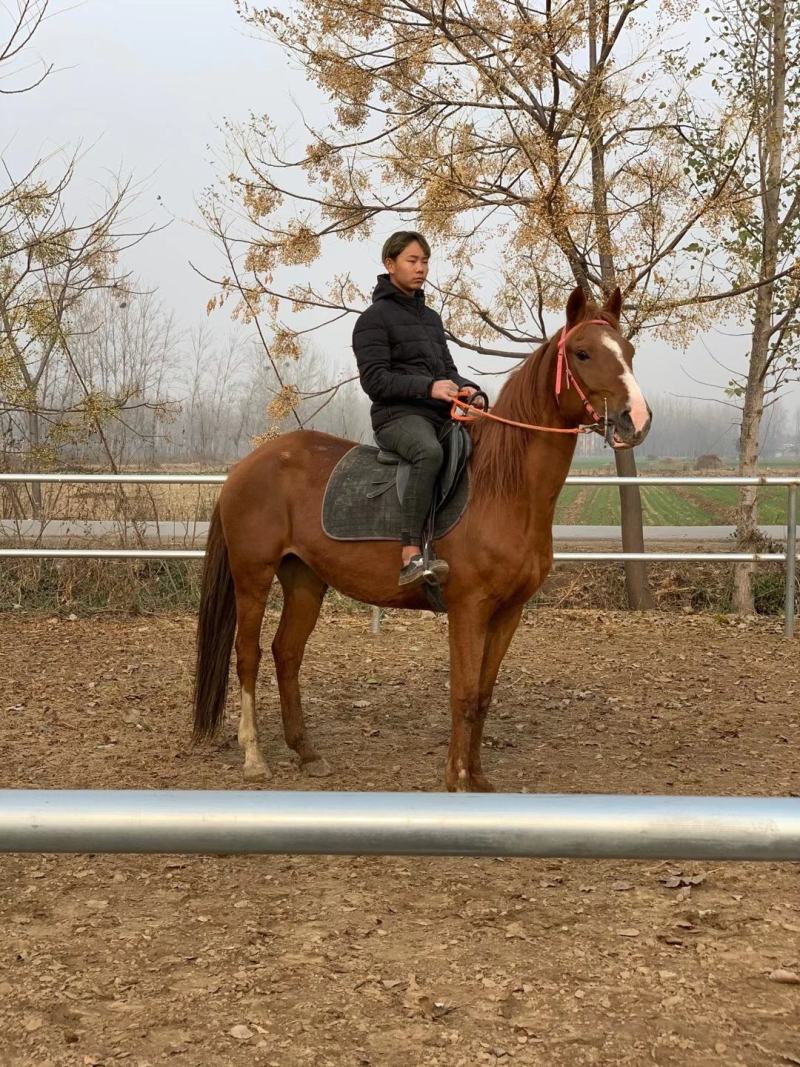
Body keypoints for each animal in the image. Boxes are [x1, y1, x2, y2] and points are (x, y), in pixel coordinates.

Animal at [192, 286, 651, 792]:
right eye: (583, 353)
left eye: (629, 352)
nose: (635, 419)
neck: (502, 489)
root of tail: (248, 464)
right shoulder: (468, 609)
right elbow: (464, 694)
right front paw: (456, 780)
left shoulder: (509, 613)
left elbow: (484, 695)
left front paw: (479, 778)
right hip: (252, 577)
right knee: (248, 655)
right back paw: (255, 755)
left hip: (305, 580)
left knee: (286, 653)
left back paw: (307, 752)